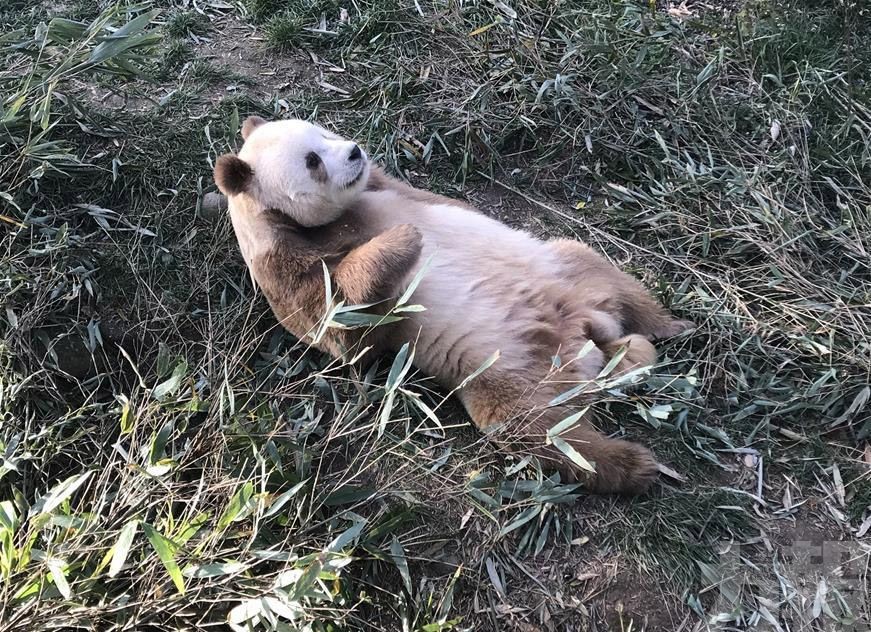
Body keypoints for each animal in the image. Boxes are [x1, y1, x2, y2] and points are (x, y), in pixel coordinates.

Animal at [215, 117, 692, 494]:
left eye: (324, 131)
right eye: (312, 160)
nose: (354, 152)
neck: (318, 223)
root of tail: (586, 339)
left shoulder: (389, 187)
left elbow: (443, 201)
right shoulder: (283, 262)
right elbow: (342, 326)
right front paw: (405, 241)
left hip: (563, 270)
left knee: (608, 277)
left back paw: (672, 327)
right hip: (506, 368)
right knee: (540, 429)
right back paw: (633, 464)